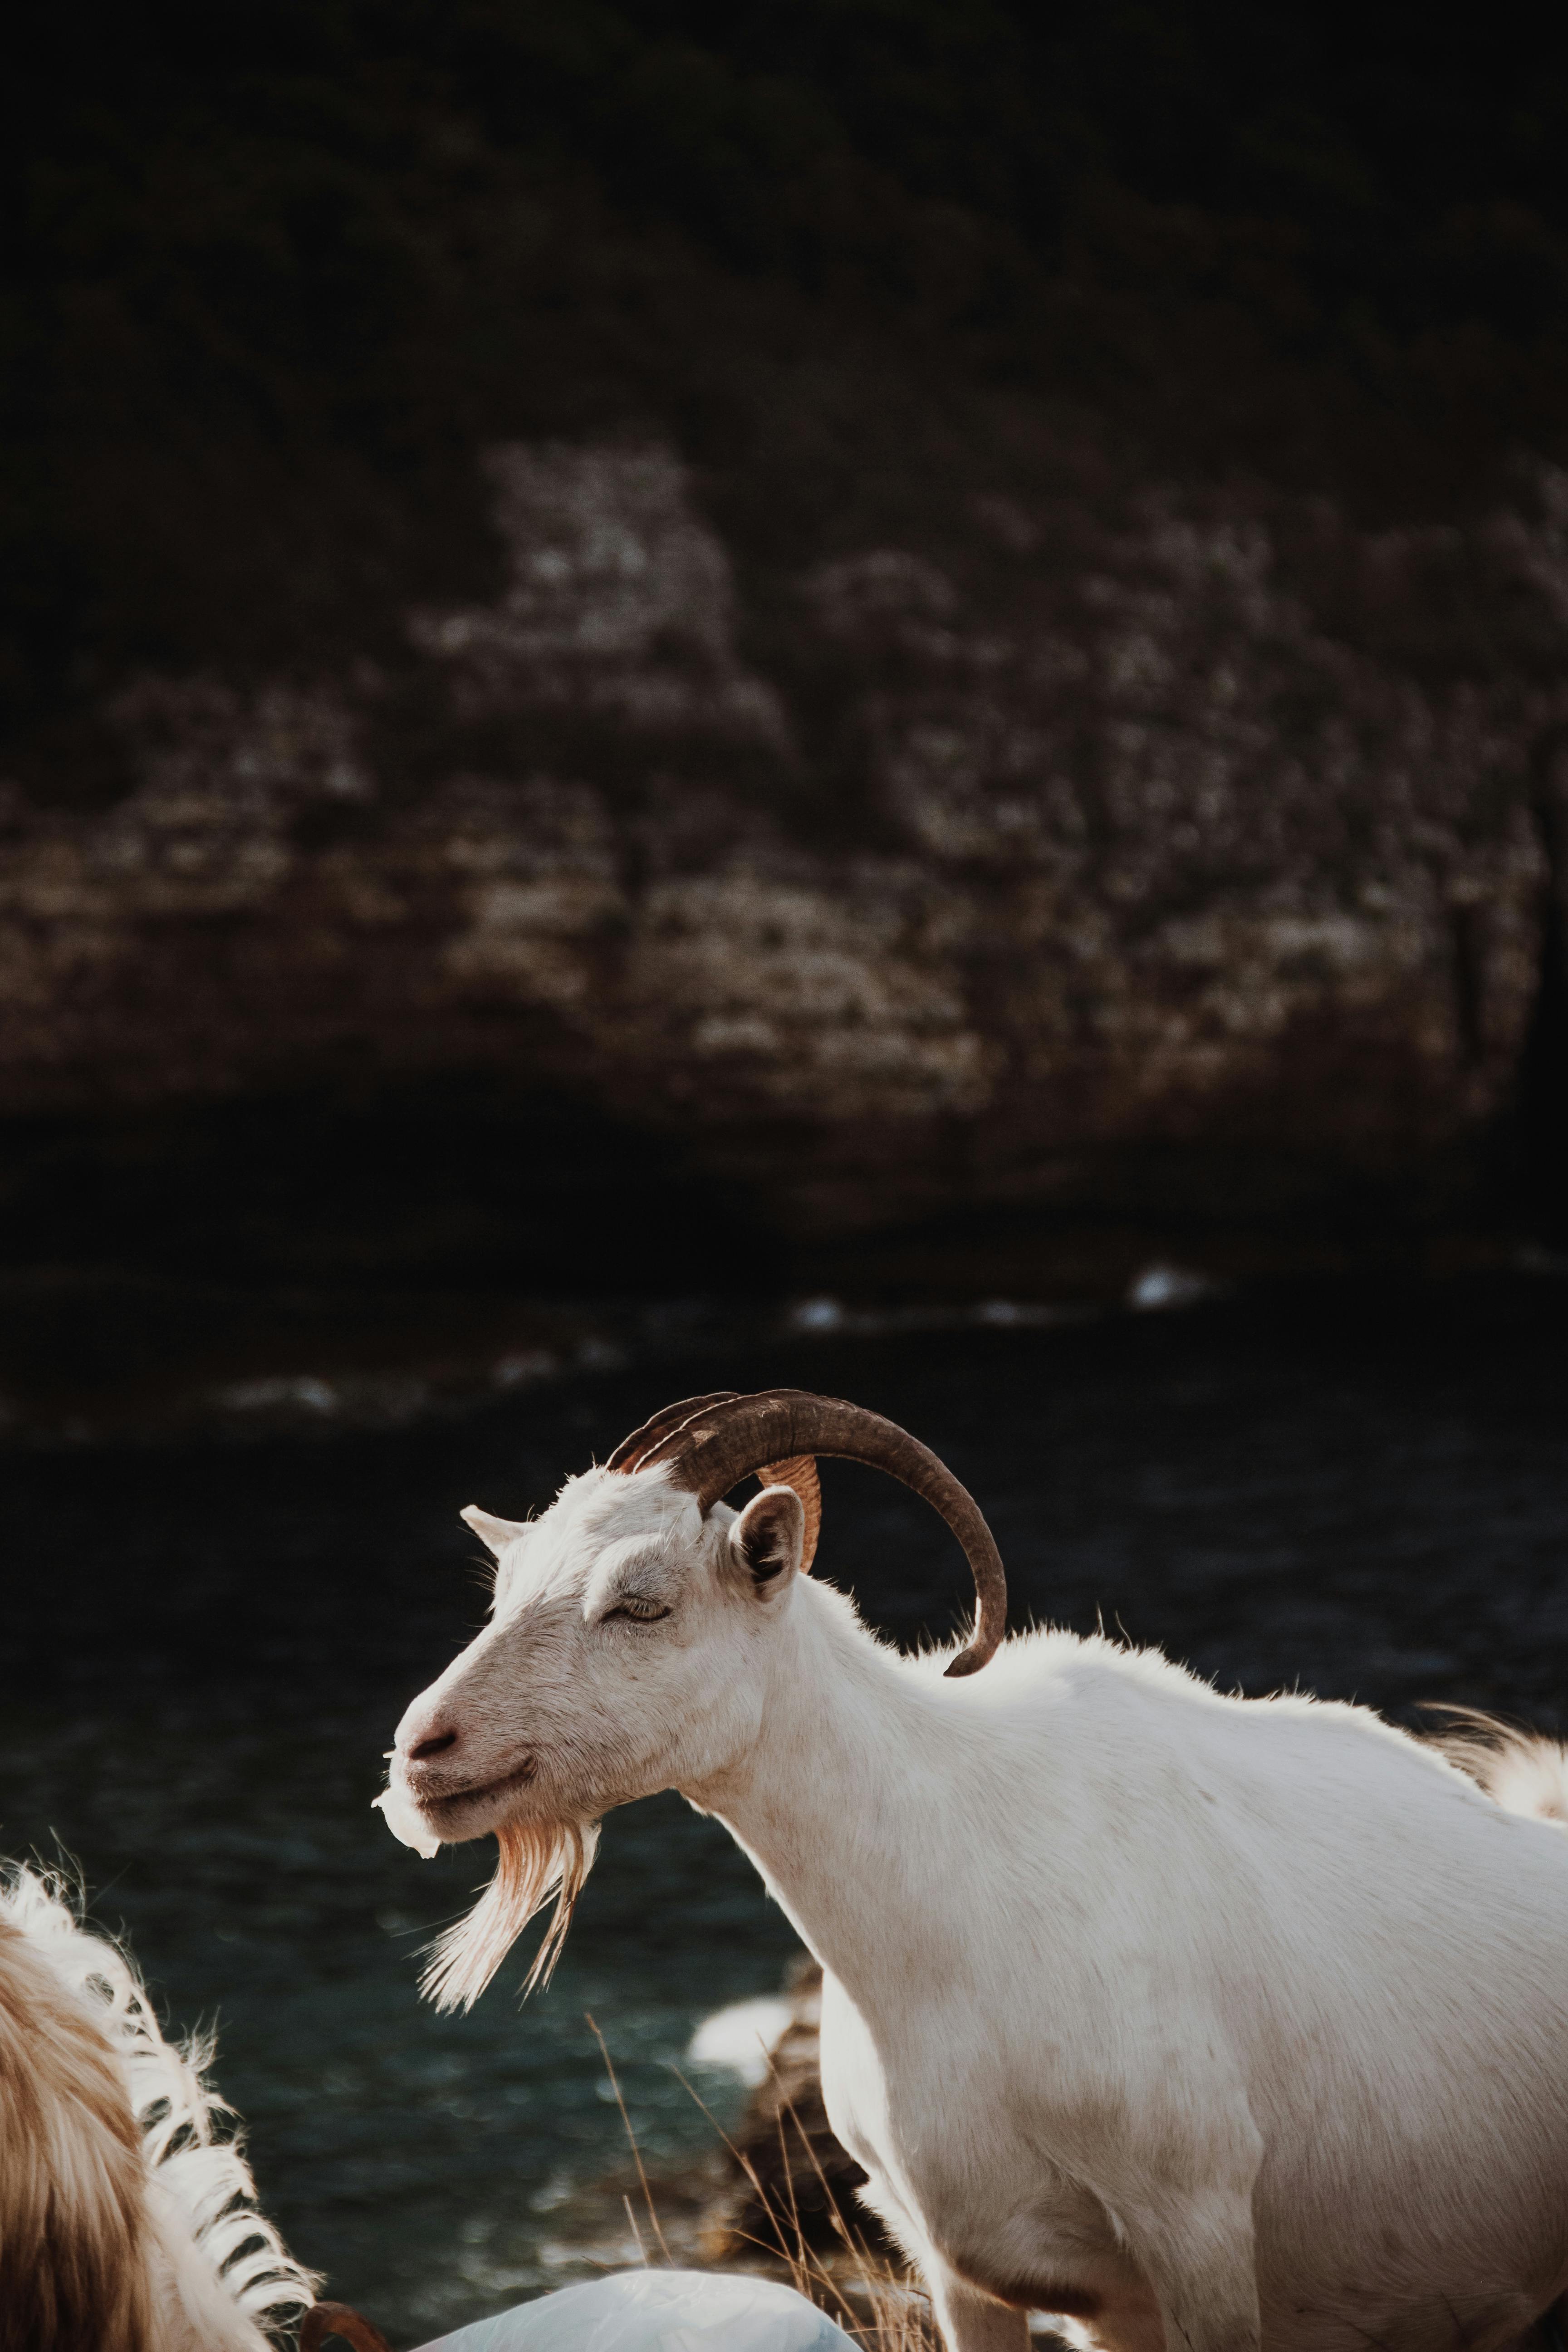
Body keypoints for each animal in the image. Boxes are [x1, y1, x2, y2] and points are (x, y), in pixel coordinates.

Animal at [376, 1383, 1568, 2352]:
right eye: (502, 1587)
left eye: (641, 1600)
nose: (421, 1753)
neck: (950, 1917)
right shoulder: (962, 2267)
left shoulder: (1199, 2230)